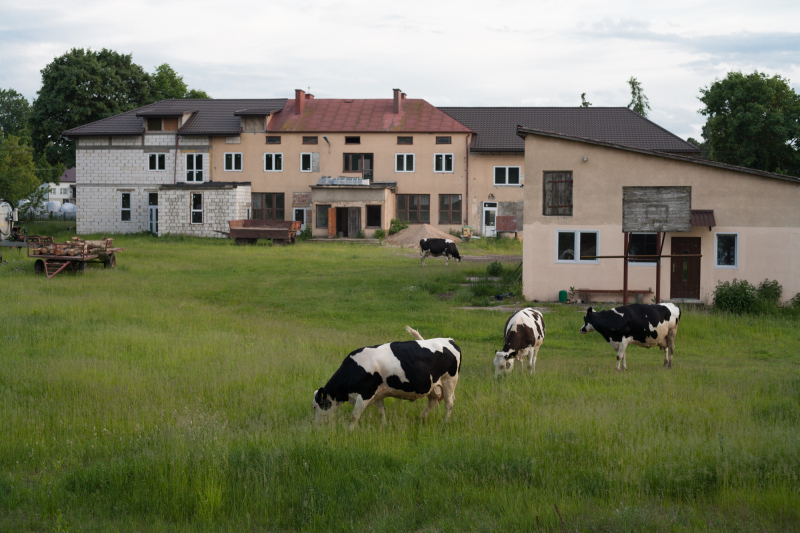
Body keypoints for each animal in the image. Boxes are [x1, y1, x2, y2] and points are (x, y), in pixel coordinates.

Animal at [312, 336, 462, 428]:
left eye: (315, 406)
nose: (316, 426)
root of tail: (449, 340)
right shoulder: (377, 393)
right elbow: (381, 411)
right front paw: (384, 425)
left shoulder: (365, 393)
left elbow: (354, 415)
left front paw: (349, 430)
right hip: (432, 385)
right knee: (432, 401)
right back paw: (421, 418)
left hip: (449, 381)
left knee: (449, 403)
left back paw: (445, 422)